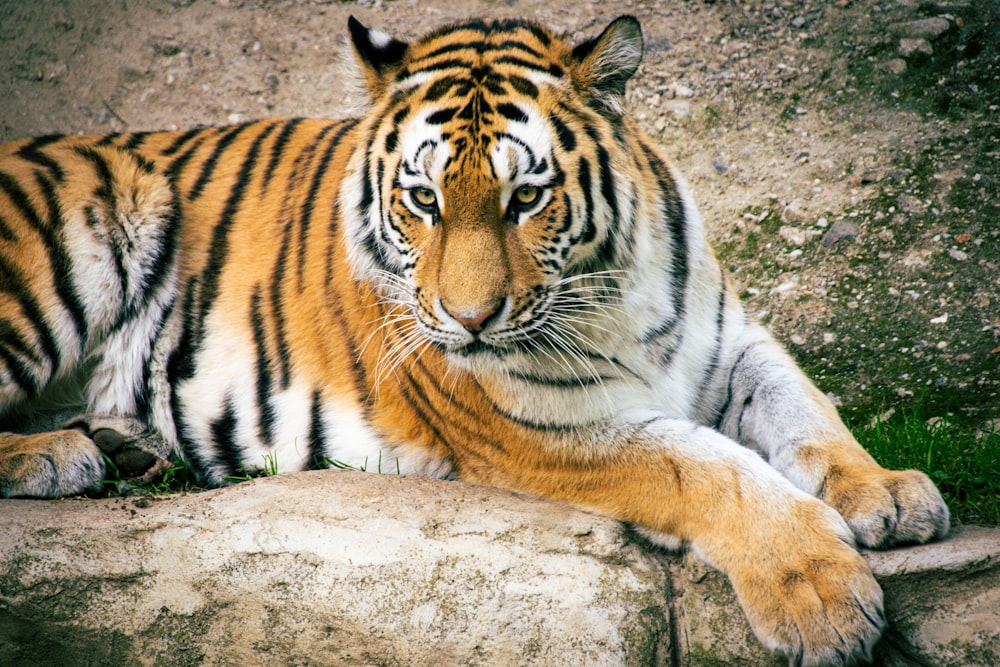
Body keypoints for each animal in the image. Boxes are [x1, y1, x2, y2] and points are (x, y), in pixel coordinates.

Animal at [0, 15, 948, 667]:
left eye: (525, 199)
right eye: (423, 200)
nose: (468, 319)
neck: (613, 289)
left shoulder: (731, 343)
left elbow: (807, 411)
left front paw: (889, 493)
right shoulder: (550, 427)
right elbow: (710, 469)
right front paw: (823, 596)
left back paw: (123, 445)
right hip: (73, 236)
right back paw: (62, 455)